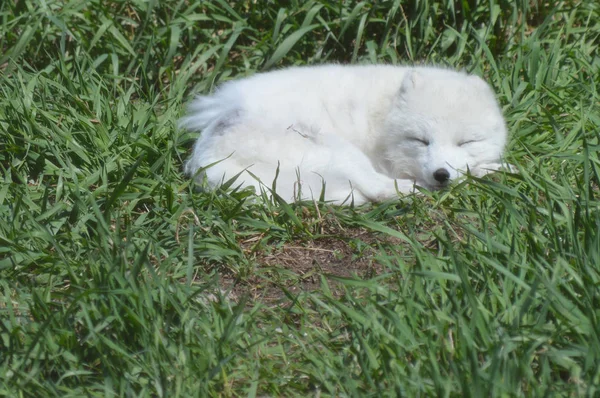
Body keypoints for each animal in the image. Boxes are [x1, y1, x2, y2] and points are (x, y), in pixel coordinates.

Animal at [180, 64, 508, 205]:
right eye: (421, 141)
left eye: (466, 142)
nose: (441, 175)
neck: (385, 113)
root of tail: (204, 162)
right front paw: (491, 169)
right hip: (338, 150)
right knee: (378, 189)